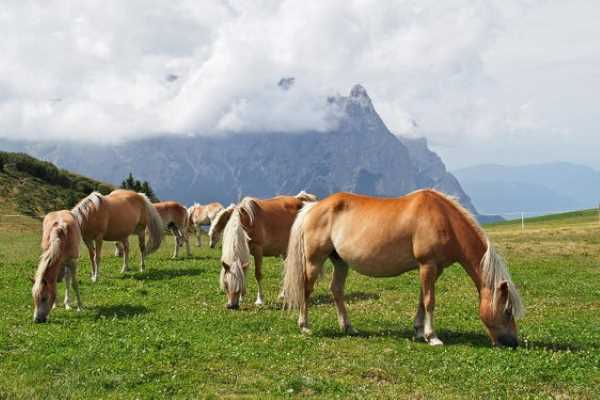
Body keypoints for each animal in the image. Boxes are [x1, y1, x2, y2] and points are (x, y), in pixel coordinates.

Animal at [284, 191, 524, 346]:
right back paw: (304, 325)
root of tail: (313, 207)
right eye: (507, 310)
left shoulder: (432, 269)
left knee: (336, 290)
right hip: (314, 260)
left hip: (340, 262)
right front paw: (432, 336)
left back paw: (348, 326)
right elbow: (429, 301)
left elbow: (421, 298)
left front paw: (418, 331)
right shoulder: (428, 265)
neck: (443, 219)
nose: (512, 343)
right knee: (306, 289)